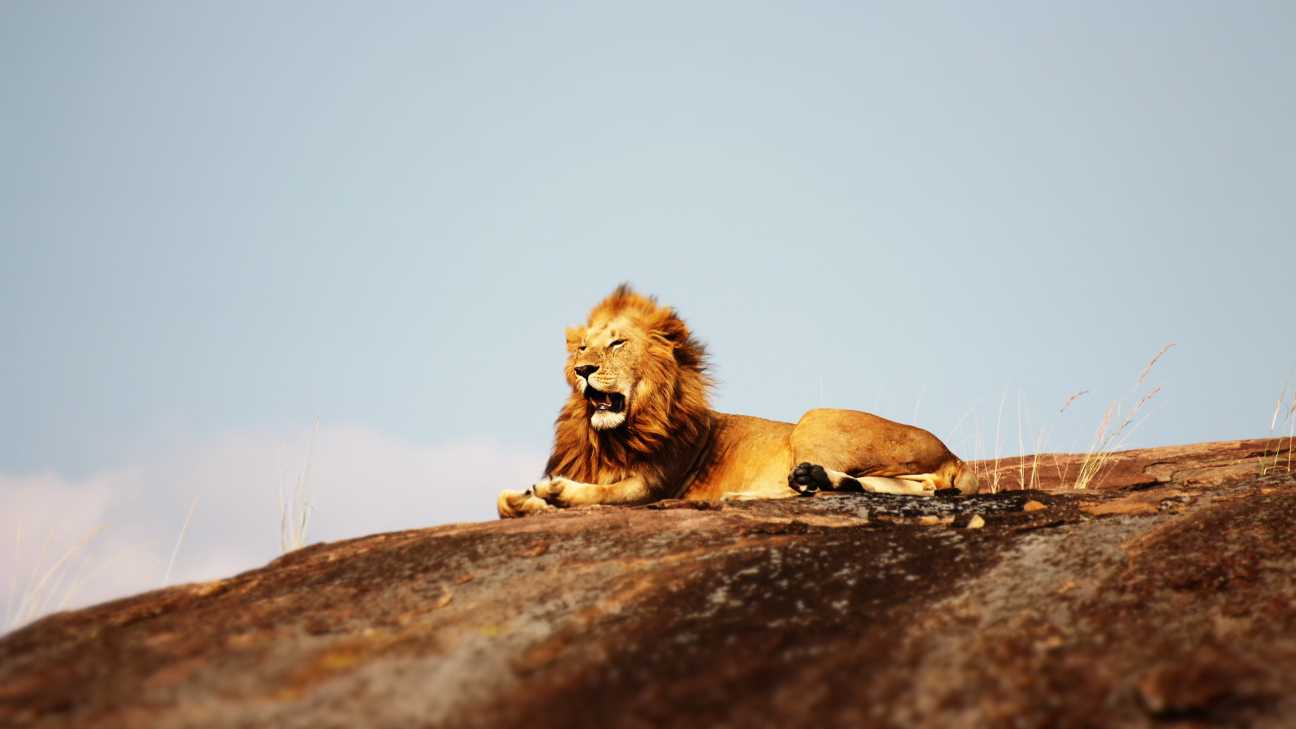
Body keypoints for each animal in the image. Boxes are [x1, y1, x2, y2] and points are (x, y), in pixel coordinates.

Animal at [497, 284, 979, 516]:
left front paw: (554, 491)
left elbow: (601, 494)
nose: (583, 370)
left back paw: (763, 491)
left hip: (815, 418)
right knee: (913, 487)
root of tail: (954, 455)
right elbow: (503, 501)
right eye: (582, 348)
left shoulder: (652, 486)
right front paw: (525, 499)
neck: (611, 437)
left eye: (617, 343)